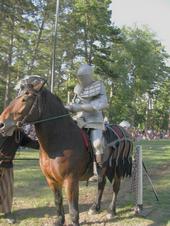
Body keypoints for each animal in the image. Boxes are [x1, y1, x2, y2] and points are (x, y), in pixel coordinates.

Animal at [0, 78, 133, 226]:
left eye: (25, 99)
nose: (2, 124)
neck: (59, 141)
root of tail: (125, 131)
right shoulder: (51, 180)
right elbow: (58, 201)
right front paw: (59, 220)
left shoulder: (70, 180)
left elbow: (73, 208)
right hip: (104, 168)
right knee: (101, 183)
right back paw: (95, 208)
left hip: (117, 168)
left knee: (115, 186)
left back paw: (111, 211)